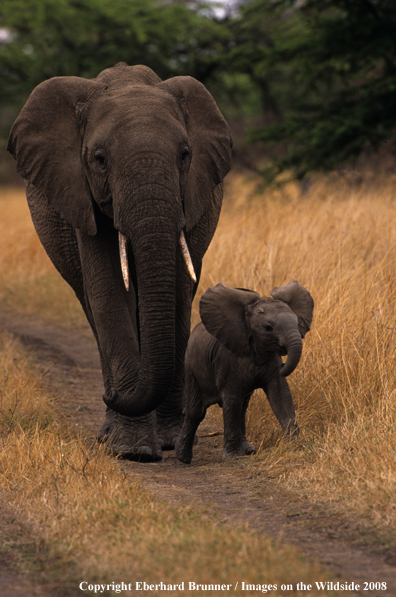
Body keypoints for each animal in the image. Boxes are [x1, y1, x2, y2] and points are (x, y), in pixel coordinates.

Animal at [6, 61, 232, 460]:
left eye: (185, 154)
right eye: (99, 159)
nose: (108, 395)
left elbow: (178, 293)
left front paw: (167, 441)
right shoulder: (80, 193)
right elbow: (109, 291)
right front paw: (132, 450)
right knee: (90, 302)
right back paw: (112, 433)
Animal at [176, 280, 312, 460]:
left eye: (297, 323)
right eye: (268, 328)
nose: (283, 365)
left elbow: (281, 395)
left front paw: (296, 446)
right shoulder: (227, 360)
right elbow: (232, 398)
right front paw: (233, 457)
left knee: (242, 406)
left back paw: (248, 450)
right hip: (191, 367)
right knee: (196, 411)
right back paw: (183, 457)